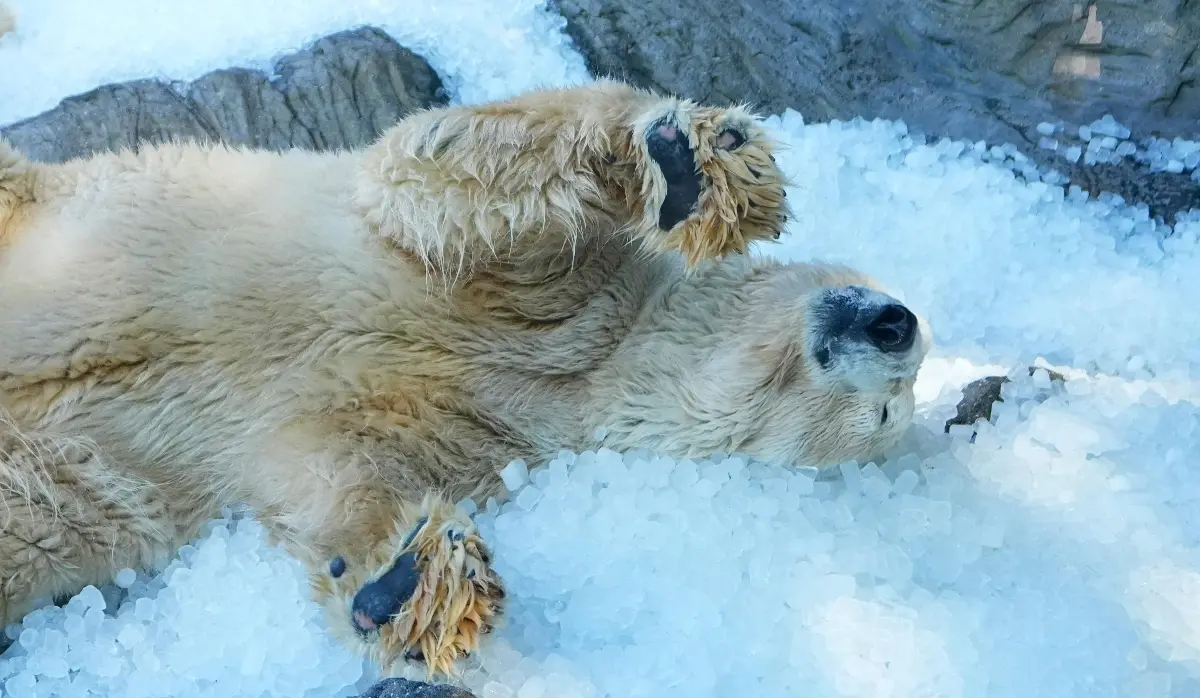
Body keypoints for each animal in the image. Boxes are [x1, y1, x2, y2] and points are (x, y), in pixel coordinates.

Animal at [0, 80, 930, 679]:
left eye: (886, 416)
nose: (899, 325)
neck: (588, 365)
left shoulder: (491, 429)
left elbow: (331, 469)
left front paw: (410, 584)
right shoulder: (549, 296)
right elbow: (432, 171)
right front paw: (693, 165)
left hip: (76, 486)